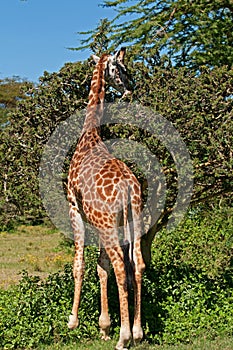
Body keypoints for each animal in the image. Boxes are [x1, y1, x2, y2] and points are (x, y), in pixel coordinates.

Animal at [66, 47, 145, 350]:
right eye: (120, 68)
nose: (129, 87)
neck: (90, 135)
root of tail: (128, 188)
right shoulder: (97, 222)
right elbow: (101, 269)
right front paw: (104, 326)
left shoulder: (74, 208)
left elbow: (80, 265)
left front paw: (72, 321)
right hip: (134, 221)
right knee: (137, 265)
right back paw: (137, 332)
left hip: (110, 225)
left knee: (122, 267)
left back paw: (124, 338)